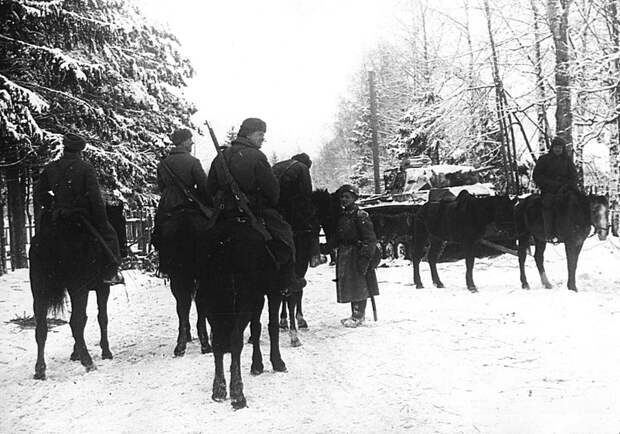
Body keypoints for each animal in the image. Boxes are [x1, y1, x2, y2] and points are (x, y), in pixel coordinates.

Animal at [197, 219, 286, 408]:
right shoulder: (272, 292)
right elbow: (271, 326)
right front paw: (276, 362)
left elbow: (256, 327)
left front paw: (257, 364)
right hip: (244, 302)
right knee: (236, 340)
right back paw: (237, 393)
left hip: (212, 306)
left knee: (218, 343)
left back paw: (219, 389)